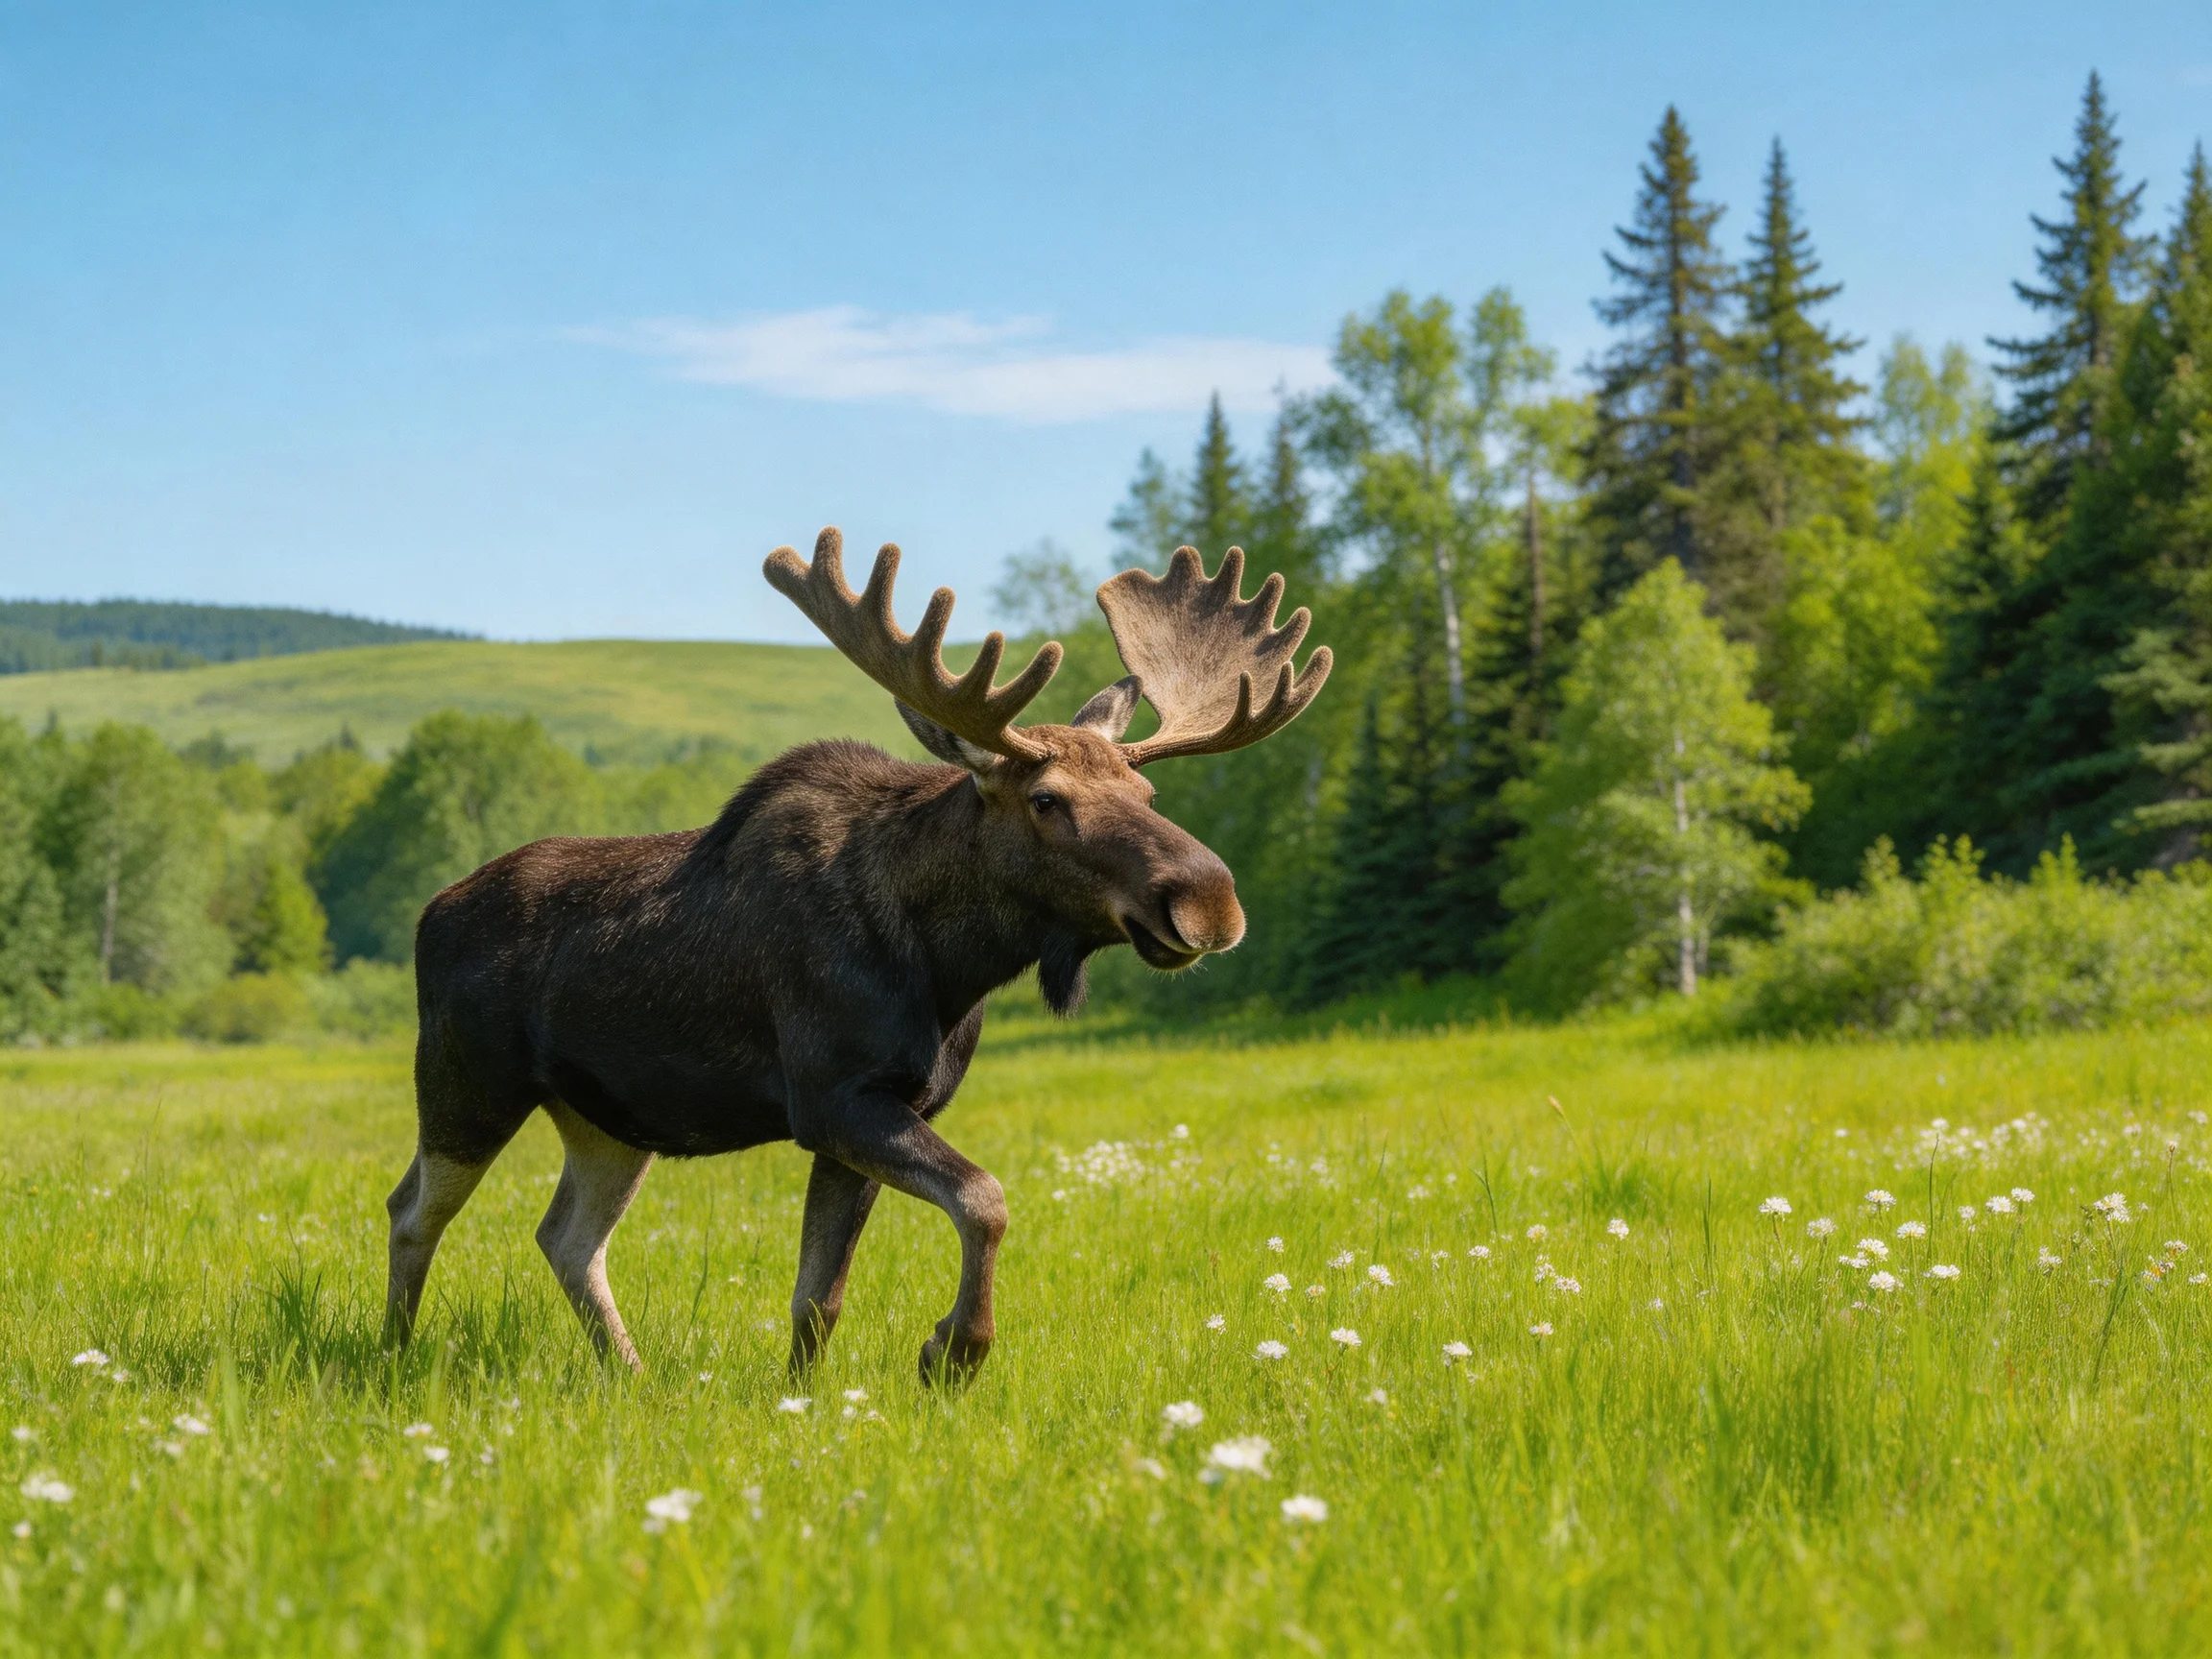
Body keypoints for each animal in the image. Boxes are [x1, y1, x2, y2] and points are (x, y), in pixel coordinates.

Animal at [382, 529, 1330, 1384]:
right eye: (1047, 799)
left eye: (1146, 790)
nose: (1210, 900)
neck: (950, 967)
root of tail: (429, 916)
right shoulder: (832, 1097)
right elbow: (984, 1199)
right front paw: (952, 1351)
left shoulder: (880, 1109)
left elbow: (819, 1295)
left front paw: (804, 1397)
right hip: (466, 1084)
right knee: (412, 1210)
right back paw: (391, 1361)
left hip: (611, 1118)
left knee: (568, 1236)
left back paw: (632, 1376)